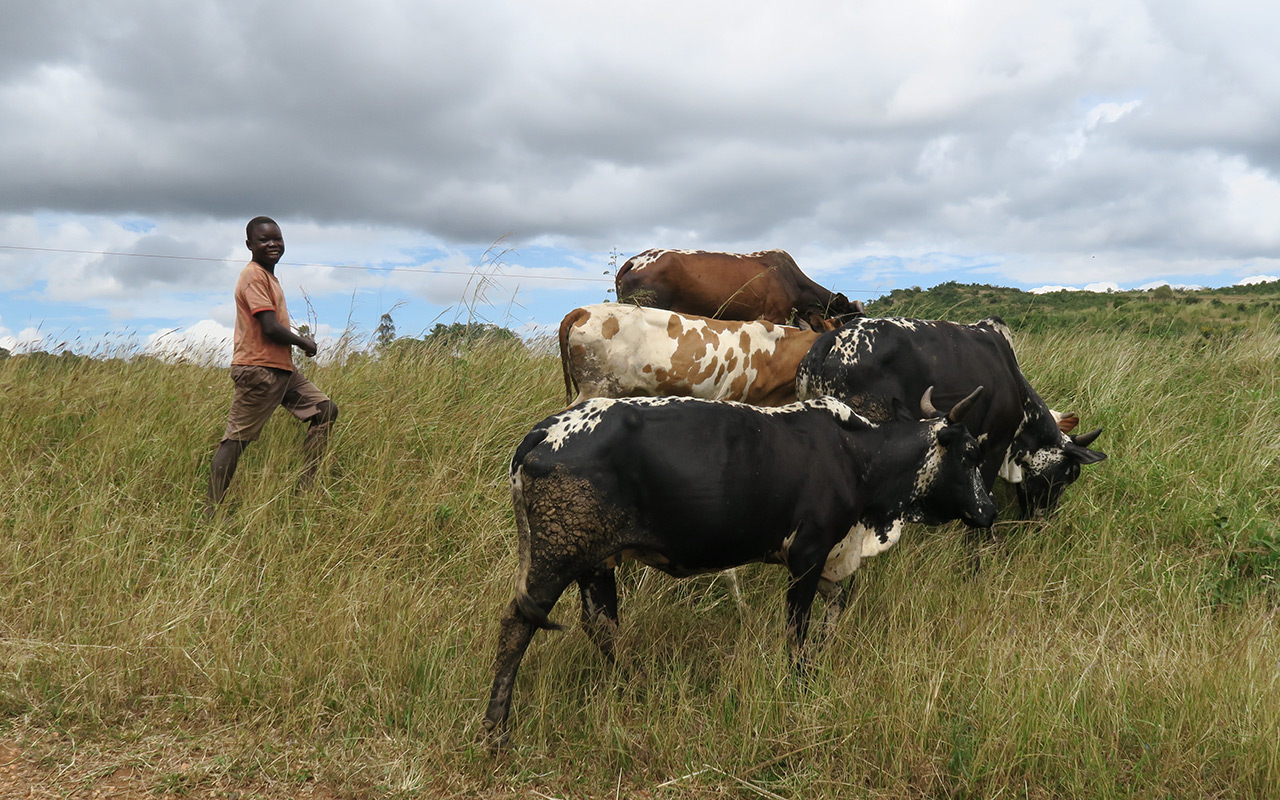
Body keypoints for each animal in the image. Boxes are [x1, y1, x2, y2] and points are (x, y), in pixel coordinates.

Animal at [483, 389, 993, 747]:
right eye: (970, 454)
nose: (988, 512)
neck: (855, 455)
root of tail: (546, 428)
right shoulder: (808, 553)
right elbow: (796, 629)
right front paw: (801, 683)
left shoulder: (821, 559)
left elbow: (840, 602)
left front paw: (822, 658)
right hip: (558, 554)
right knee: (517, 625)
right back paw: (496, 732)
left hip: (596, 561)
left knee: (601, 624)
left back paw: (639, 687)